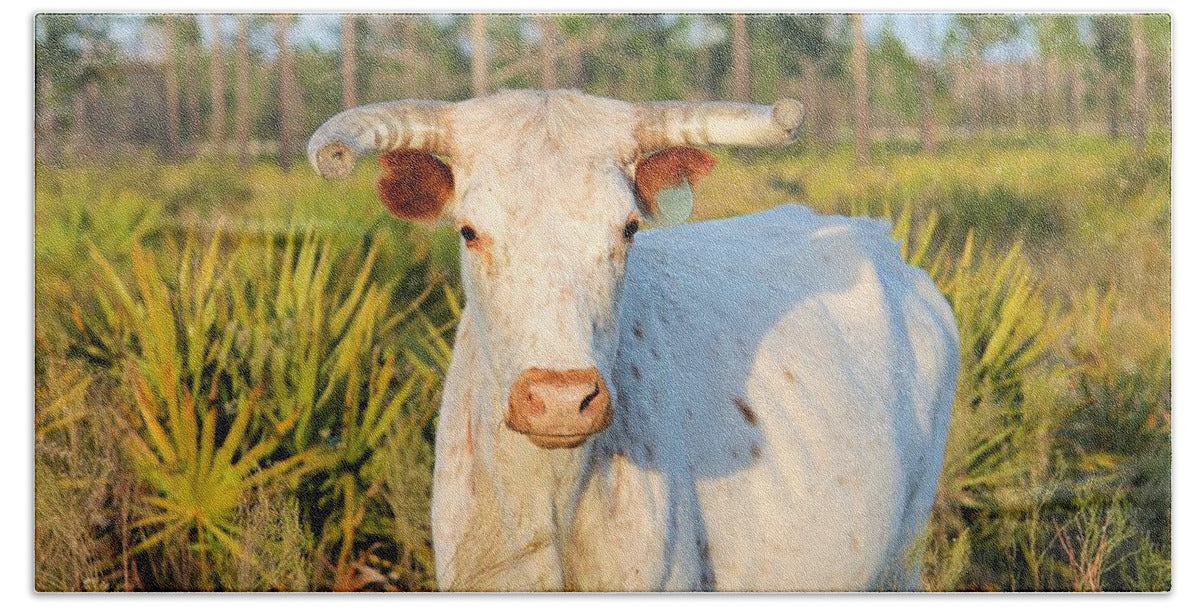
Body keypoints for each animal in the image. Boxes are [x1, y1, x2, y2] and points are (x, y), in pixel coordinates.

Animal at [308, 90, 960, 591]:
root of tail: (880, 241)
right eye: (469, 231)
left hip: (905, 555)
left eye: (627, 228)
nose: (560, 400)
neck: (554, 500)